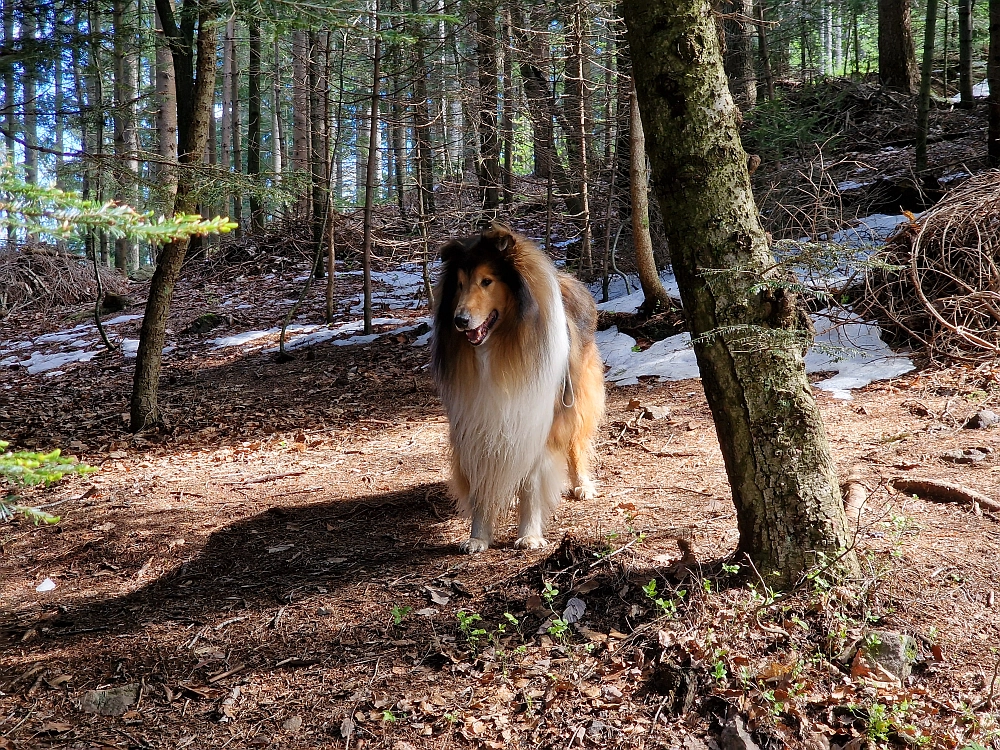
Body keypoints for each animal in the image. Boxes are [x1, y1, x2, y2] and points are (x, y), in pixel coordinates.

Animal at [428, 223, 600, 552]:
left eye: (487, 281)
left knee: (575, 440)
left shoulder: (537, 415)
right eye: (459, 284)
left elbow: (532, 483)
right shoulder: (476, 421)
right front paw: (478, 537)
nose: (460, 320)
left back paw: (581, 484)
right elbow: (482, 483)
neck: (496, 350)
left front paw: (530, 534)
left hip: (575, 395)